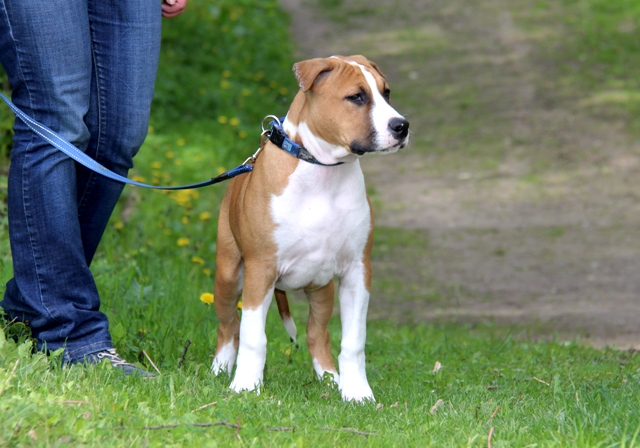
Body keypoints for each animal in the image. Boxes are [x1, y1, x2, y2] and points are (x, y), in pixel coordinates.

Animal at [210, 54, 410, 400]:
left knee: (317, 333)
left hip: (321, 288)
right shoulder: (261, 269)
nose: (401, 126)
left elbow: (354, 341)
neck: (323, 172)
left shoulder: (357, 271)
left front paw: (358, 393)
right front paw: (246, 386)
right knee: (229, 326)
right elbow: (253, 336)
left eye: (386, 93)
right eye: (357, 97)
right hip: (229, 274)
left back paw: (330, 378)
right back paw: (220, 369)